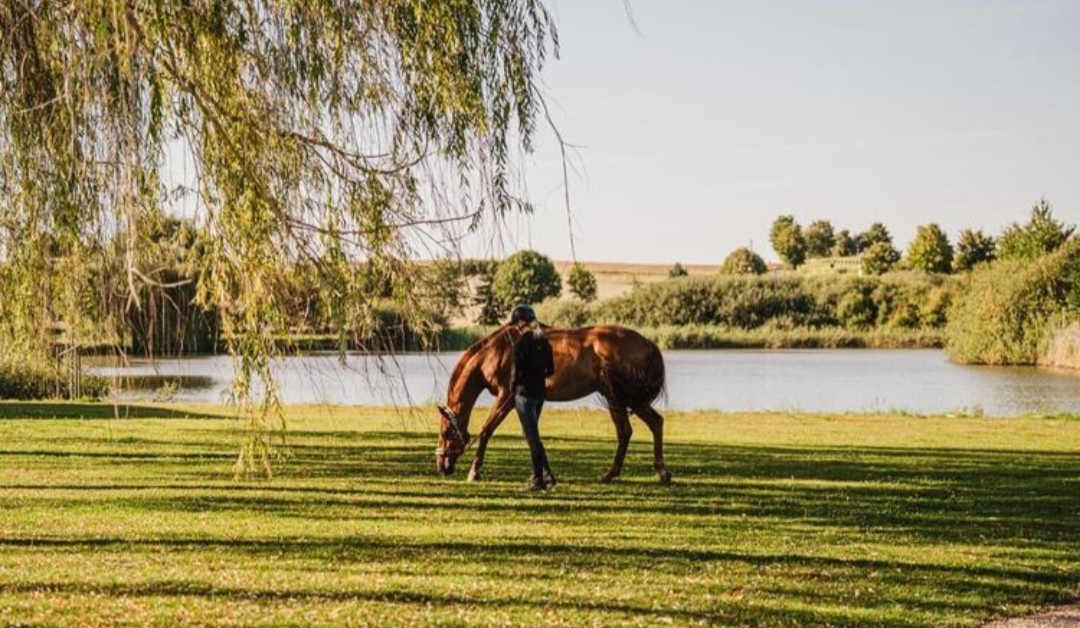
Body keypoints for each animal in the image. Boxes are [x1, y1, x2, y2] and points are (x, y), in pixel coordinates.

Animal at [435, 323, 671, 484]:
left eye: (446, 433)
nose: (441, 466)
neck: (498, 351)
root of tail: (649, 344)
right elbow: (532, 436)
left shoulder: (506, 398)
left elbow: (487, 431)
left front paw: (474, 471)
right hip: (623, 399)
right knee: (648, 425)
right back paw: (643, 472)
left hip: (623, 398)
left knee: (632, 429)